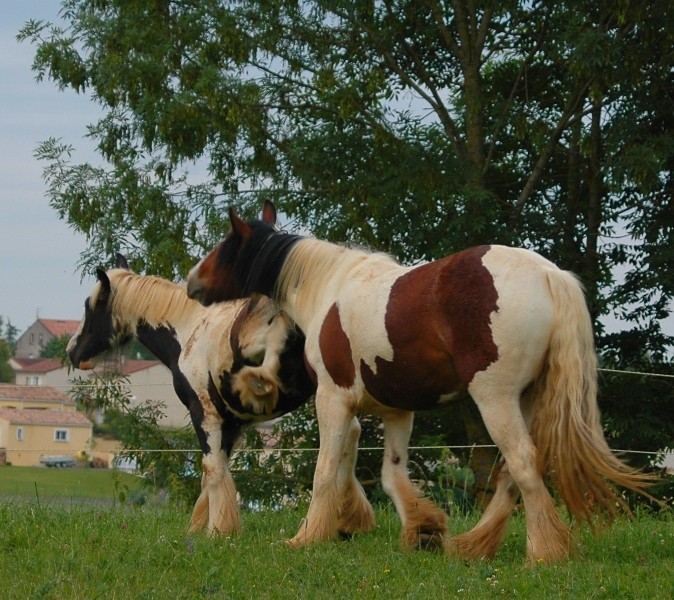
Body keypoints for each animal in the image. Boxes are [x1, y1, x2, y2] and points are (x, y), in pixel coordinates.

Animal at [69, 254, 372, 540]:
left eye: (90, 306)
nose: (73, 351)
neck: (188, 331)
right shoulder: (231, 423)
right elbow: (214, 473)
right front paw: (201, 527)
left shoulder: (203, 413)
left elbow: (213, 471)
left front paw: (217, 530)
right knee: (351, 437)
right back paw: (347, 521)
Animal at [185, 204, 652, 564]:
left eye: (224, 246)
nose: (192, 282)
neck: (327, 286)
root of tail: (549, 275)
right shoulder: (396, 411)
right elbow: (391, 475)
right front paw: (422, 530)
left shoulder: (332, 400)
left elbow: (326, 471)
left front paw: (307, 536)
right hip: (527, 400)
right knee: (510, 474)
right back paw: (475, 545)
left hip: (495, 399)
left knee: (522, 462)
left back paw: (543, 552)